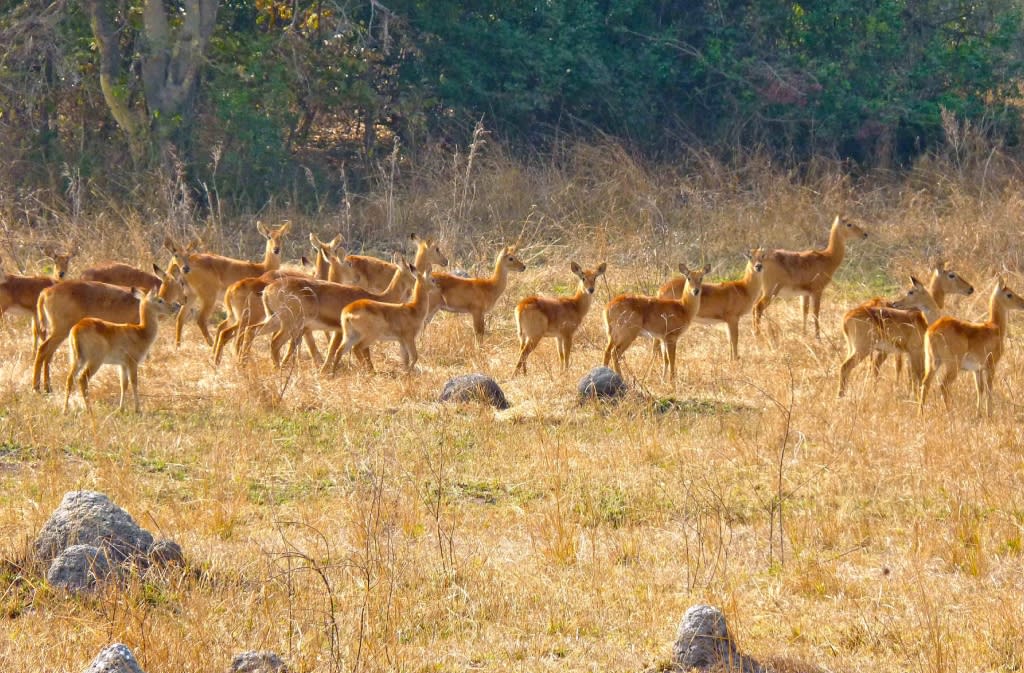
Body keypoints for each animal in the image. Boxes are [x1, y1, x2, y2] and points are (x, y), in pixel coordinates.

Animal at [34, 268, 188, 393]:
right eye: (181, 282)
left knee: (49, 354)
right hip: (60, 331)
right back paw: (36, 388)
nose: (182, 301)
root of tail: (45, 292)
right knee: (43, 349)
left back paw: (47, 387)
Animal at [921, 276, 1024, 413]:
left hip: (932, 361)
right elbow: (989, 389)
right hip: (952, 365)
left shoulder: (977, 369)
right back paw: (950, 412)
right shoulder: (991, 366)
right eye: (1009, 294)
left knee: (925, 383)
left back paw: (920, 413)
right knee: (943, 385)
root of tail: (933, 330)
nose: (1022, 303)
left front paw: (978, 414)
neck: (995, 327)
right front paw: (989, 414)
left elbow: (979, 389)